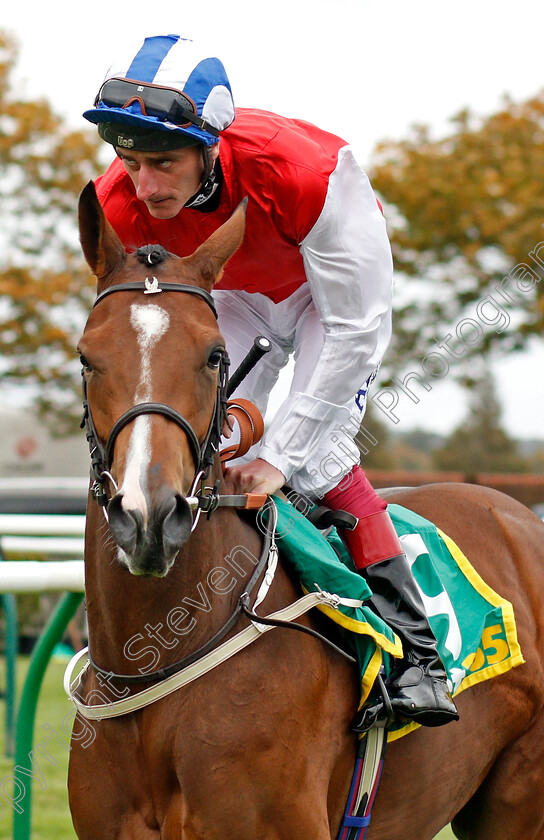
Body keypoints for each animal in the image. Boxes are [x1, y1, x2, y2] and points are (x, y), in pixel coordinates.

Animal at [68, 180, 544, 836]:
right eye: (87, 357)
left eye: (214, 356)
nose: (149, 517)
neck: (156, 663)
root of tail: (517, 514)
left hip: (517, 798)